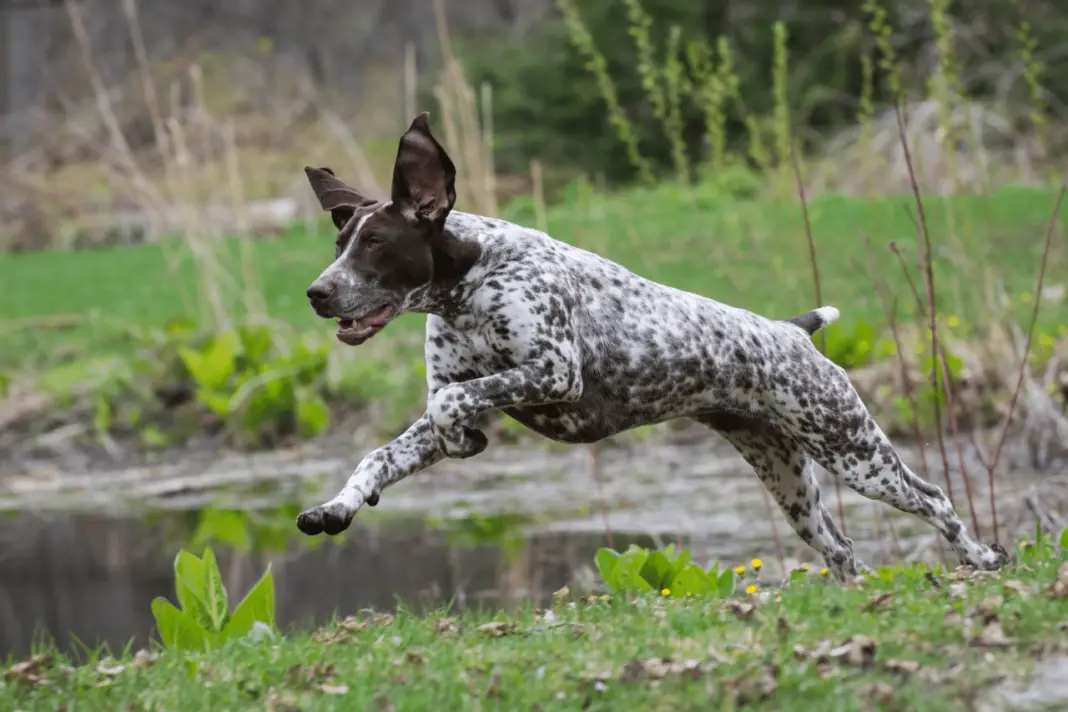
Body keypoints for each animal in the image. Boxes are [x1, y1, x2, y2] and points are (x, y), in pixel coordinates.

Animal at [296, 111, 1003, 580]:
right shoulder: (449, 398)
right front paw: (338, 507)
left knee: (936, 500)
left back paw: (980, 557)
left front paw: (460, 439)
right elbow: (380, 456)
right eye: (338, 245)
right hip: (790, 481)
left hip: (855, 453)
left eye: (376, 245)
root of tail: (791, 330)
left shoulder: (554, 372)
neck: (470, 282)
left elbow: (453, 408)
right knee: (842, 550)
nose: (317, 292)